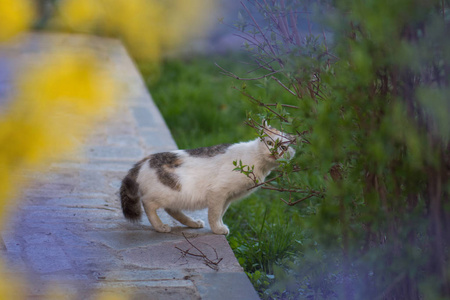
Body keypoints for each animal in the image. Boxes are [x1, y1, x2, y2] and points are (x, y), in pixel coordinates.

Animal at [119, 123, 296, 236]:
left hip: (177, 195)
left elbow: (220, 213)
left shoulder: (227, 197)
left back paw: (192, 223)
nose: (274, 153)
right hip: (166, 192)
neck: (258, 163)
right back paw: (160, 226)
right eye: (269, 142)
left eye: (283, 147)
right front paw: (218, 229)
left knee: (172, 209)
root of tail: (143, 161)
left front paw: (219, 225)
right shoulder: (218, 192)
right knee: (148, 203)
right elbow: (214, 213)